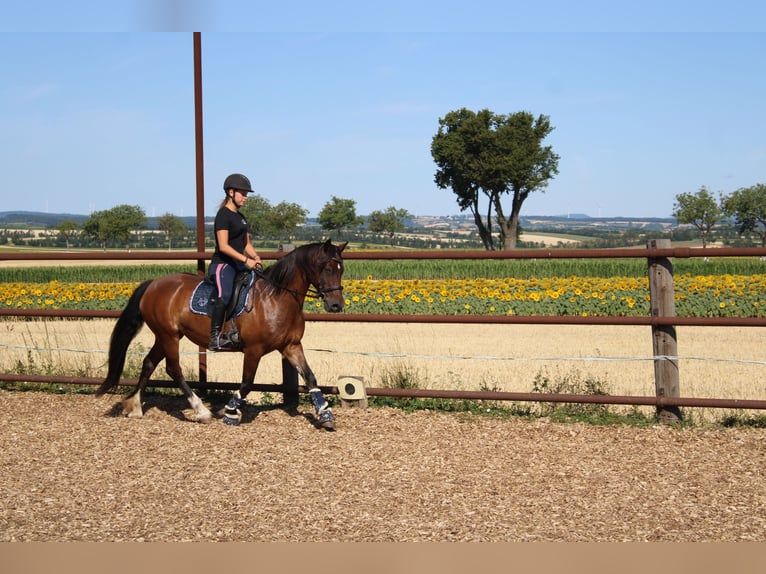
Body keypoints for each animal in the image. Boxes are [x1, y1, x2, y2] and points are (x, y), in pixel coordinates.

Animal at [95, 239, 347, 430]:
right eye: (327, 269)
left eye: (341, 269)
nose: (336, 305)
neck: (276, 297)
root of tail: (152, 284)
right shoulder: (254, 349)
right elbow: (247, 383)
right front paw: (230, 412)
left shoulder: (291, 346)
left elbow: (310, 377)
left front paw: (326, 417)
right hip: (169, 336)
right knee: (173, 369)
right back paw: (201, 411)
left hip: (165, 336)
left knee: (149, 363)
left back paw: (136, 407)